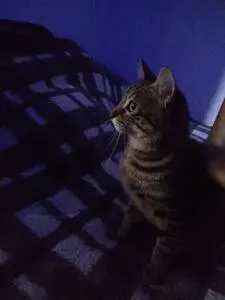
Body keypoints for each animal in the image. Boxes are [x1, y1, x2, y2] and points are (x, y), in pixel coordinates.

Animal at [108, 60, 225, 284]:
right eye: (121, 99)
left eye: (132, 107)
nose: (110, 113)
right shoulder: (137, 201)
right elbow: (129, 213)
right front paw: (121, 231)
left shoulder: (174, 221)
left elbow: (162, 251)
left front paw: (151, 274)